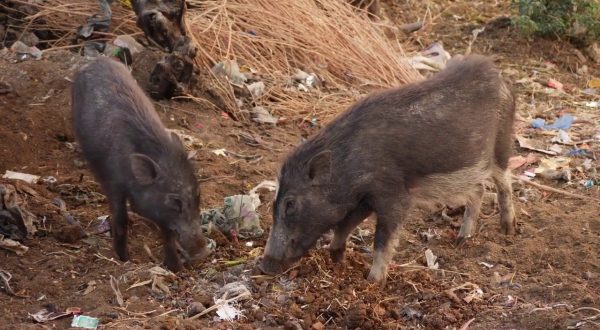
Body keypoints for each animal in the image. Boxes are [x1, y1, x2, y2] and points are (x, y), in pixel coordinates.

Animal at [71, 57, 209, 274]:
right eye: (175, 201)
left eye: (198, 196)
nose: (203, 253)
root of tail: (94, 61)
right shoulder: (114, 184)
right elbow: (120, 219)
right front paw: (124, 259)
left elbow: (168, 234)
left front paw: (176, 269)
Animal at [260, 54, 516, 284]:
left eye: (290, 204)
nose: (264, 266)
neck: (348, 167)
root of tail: (500, 77)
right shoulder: (363, 200)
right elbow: (345, 223)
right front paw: (335, 257)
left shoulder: (393, 195)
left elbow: (382, 240)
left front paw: (373, 283)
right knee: (479, 190)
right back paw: (462, 240)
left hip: (502, 145)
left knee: (504, 181)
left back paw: (508, 230)